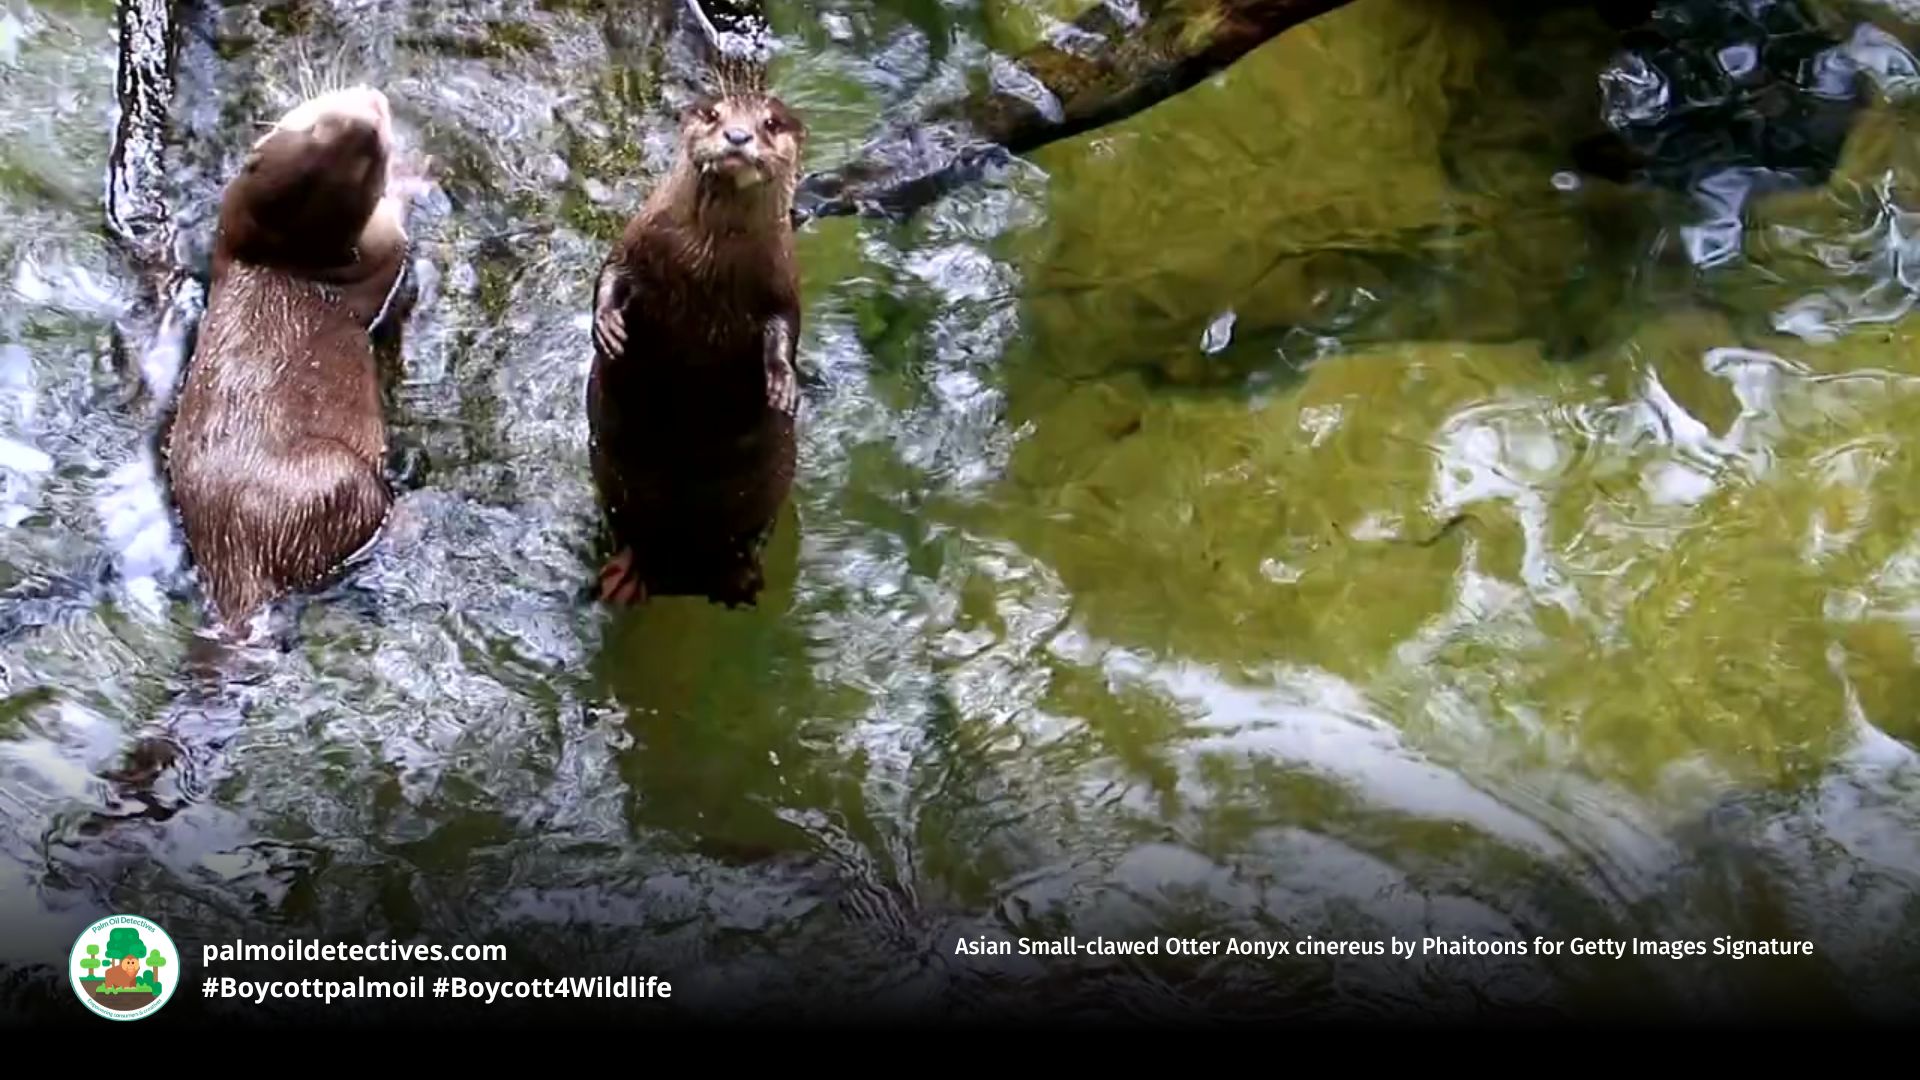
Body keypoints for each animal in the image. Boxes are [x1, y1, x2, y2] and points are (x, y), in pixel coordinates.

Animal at [163, 85, 429, 635]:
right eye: (322, 124)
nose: (371, 111)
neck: (288, 262)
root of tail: (238, 552)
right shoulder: (387, 245)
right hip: (338, 479)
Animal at [587, 89, 807, 608]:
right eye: (713, 114)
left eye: (770, 123)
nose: (738, 136)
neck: (706, 262)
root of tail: (680, 580)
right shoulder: (639, 239)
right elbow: (610, 275)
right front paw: (607, 328)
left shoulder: (781, 281)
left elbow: (785, 327)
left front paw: (782, 382)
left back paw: (737, 580)